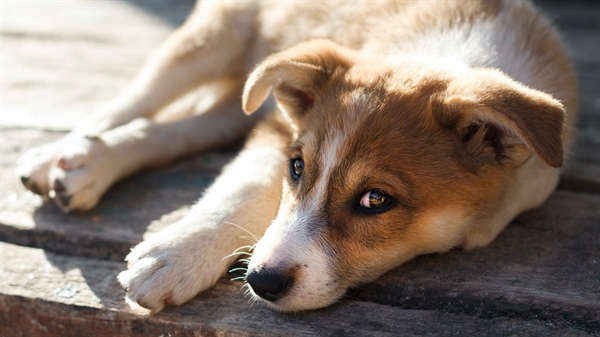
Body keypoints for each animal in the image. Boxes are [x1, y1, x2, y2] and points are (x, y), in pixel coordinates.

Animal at [15, 0, 576, 312]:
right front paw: (175, 255)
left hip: (241, 97)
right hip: (218, 36)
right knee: (130, 103)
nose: (260, 283)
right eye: (298, 168)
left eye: (376, 200)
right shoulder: (278, 132)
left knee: (182, 127)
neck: (454, 53)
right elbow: (239, 192)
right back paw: (65, 159)